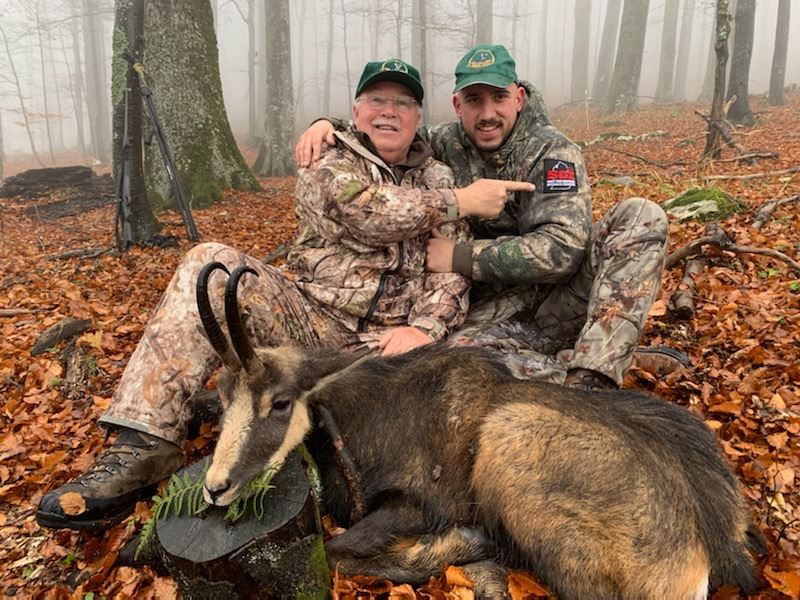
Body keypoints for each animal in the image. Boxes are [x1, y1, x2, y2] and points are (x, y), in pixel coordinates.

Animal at [196, 261, 763, 600]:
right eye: (222, 395)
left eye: (280, 401)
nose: (215, 487)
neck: (372, 408)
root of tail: (706, 549)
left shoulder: (420, 504)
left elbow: (340, 553)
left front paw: (457, 543)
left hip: (508, 443)